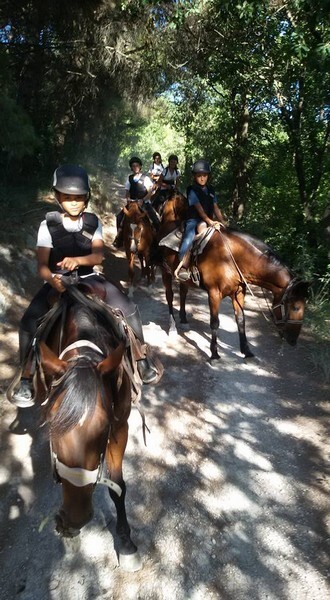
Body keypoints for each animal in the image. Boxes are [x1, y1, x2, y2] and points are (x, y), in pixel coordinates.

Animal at [33, 284, 143, 568]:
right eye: (50, 427)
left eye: (103, 430)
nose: (74, 518)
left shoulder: (120, 427)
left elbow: (118, 487)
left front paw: (126, 543)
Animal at [157, 193, 310, 360]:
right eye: (295, 307)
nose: (293, 341)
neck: (231, 258)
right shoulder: (214, 293)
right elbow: (215, 322)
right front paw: (214, 353)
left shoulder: (238, 293)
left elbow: (241, 320)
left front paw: (246, 350)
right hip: (165, 272)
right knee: (170, 296)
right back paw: (172, 327)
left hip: (184, 280)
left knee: (183, 293)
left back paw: (184, 320)